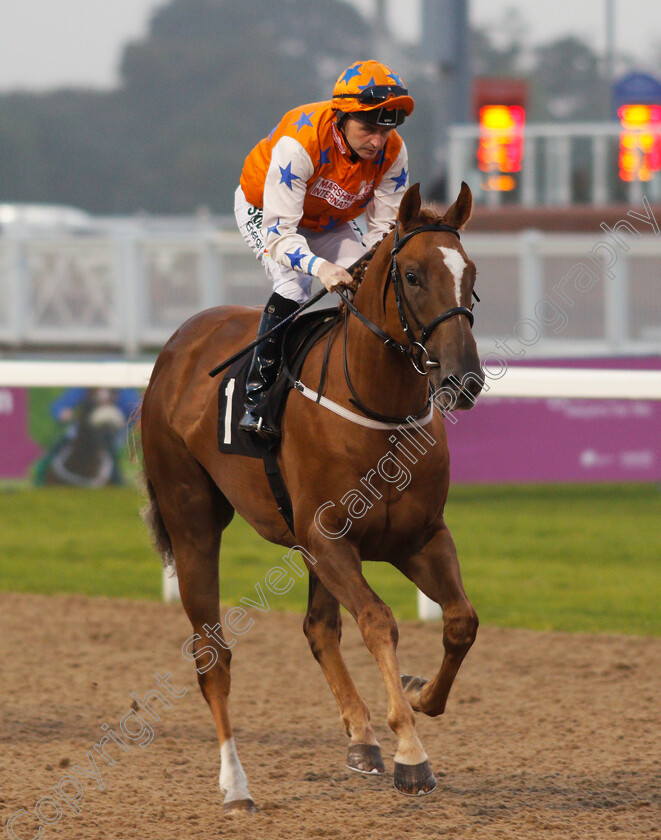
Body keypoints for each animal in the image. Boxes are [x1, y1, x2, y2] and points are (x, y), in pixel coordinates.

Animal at [141, 180, 480, 812]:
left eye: (470, 272)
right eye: (414, 276)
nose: (462, 378)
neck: (379, 409)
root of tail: (178, 342)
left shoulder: (419, 536)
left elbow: (460, 622)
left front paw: (418, 694)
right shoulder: (329, 540)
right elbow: (378, 621)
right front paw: (411, 753)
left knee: (320, 630)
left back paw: (361, 738)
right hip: (192, 523)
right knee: (212, 655)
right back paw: (236, 785)